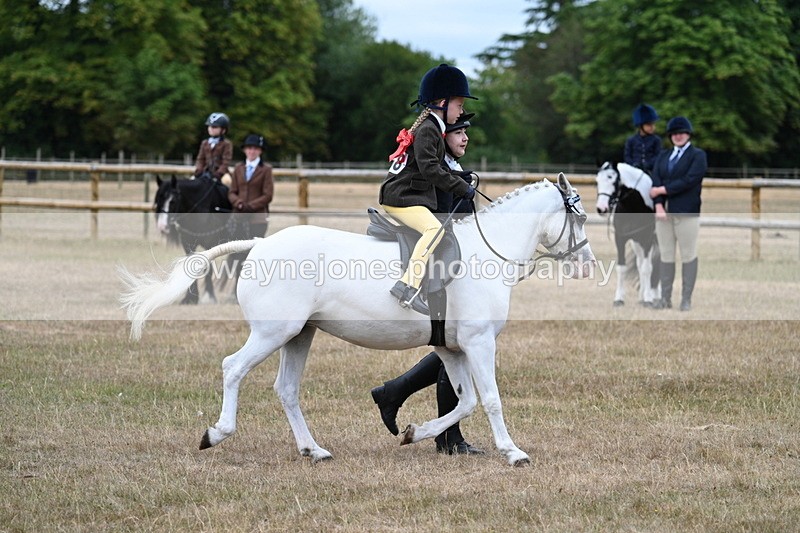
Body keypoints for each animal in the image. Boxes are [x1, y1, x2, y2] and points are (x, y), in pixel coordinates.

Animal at [154, 175, 238, 304]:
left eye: (172, 201)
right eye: (158, 199)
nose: (162, 226)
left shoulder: (210, 243)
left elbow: (208, 269)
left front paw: (210, 296)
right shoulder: (187, 243)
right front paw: (190, 297)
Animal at [595, 162, 660, 306]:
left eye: (611, 179)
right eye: (597, 180)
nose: (601, 208)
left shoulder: (647, 238)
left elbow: (647, 268)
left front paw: (648, 299)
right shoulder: (620, 238)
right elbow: (622, 268)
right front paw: (619, 299)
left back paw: (655, 296)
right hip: (637, 242)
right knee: (640, 264)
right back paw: (642, 296)